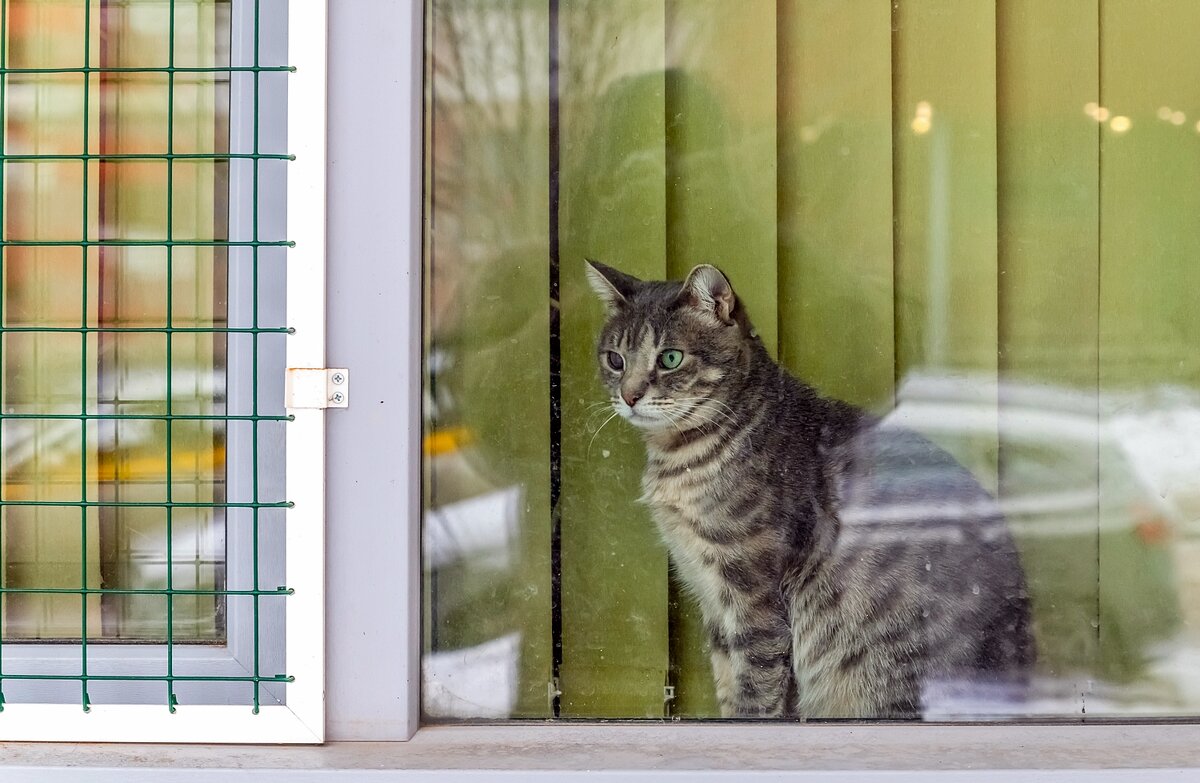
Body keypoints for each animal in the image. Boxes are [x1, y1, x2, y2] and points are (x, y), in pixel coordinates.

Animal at [583, 261, 1032, 720]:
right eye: (615, 359)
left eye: (670, 358)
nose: (629, 395)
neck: (679, 457)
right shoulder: (712, 600)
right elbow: (729, 688)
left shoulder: (753, 598)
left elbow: (756, 693)